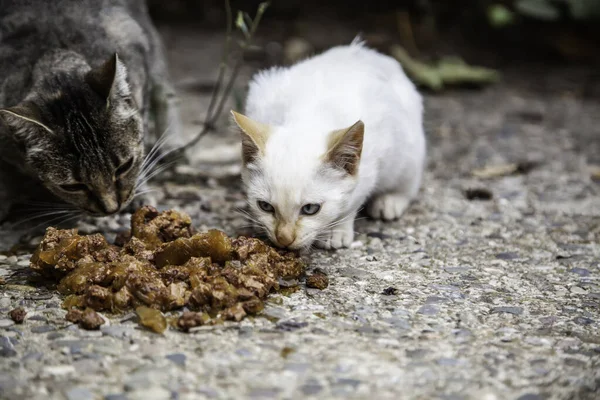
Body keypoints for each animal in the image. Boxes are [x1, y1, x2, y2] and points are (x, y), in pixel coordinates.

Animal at [231, 38, 426, 250]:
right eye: (265, 206)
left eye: (310, 209)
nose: (284, 239)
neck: (308, 117)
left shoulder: (370, 168)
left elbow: (351, 202)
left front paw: (336, 230)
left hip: (407, 153)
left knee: (409, 181)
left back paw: (390, 201)